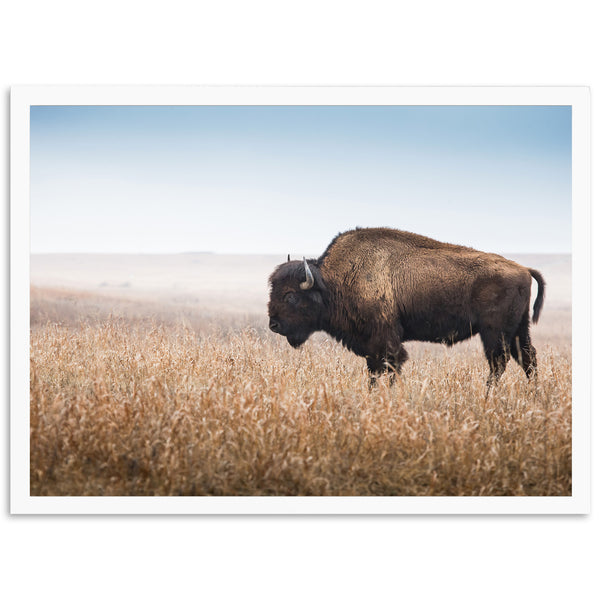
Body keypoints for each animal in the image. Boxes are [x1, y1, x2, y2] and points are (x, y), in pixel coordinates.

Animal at [268, 227, 544, 386]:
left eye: (290, 295)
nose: (273, 325)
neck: (333, 281)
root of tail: (523, 269)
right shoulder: (371, 346)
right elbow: (374, 371)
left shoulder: (385, 340)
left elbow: (389, 367)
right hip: (519, 330)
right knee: (527, 359)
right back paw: (533, 395)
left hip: (494, 332)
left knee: (499, 362)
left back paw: (489, 395)